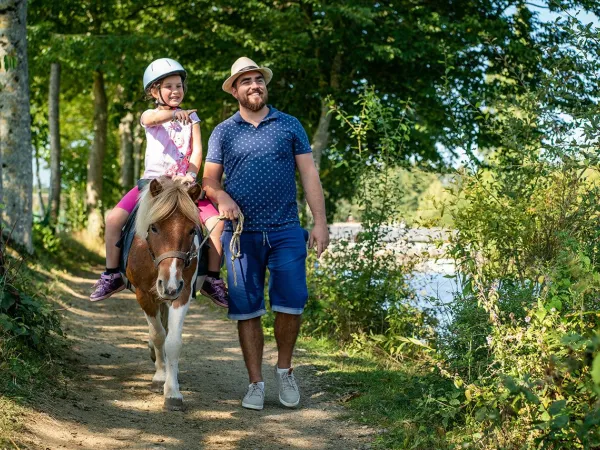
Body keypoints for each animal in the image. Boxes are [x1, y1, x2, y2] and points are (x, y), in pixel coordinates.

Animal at [125, 177, 205, 412]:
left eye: (191, 230)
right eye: (154, 227)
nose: (169, 285)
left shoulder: (182, 291)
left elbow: (173, 341)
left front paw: (172, 392)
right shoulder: (144, 294)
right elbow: (158, 335)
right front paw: (160, 377)